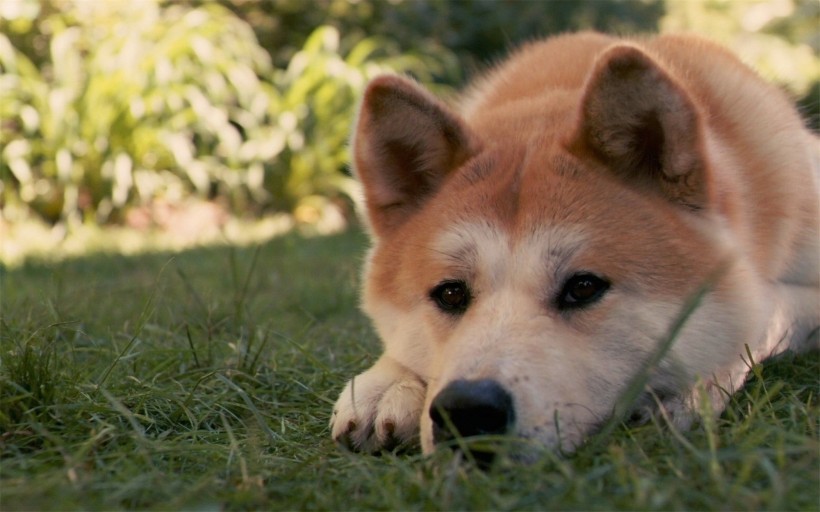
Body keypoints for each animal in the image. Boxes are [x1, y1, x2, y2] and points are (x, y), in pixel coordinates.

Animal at [328, 32, 820, 460]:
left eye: (583, 287)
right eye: (450, 293)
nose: (467, 410)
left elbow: (763, 316)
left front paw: (691, 389)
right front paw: (387, 385)